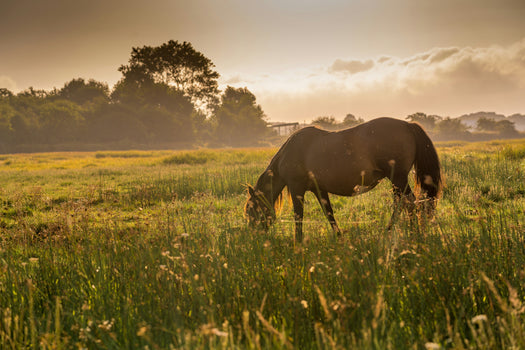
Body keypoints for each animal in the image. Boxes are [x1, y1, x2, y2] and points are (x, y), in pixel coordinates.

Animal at [244, 116, 440, 242]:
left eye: (250, 210)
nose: (253, 236)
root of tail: (407, 125)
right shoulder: (319, 189)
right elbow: (328, 213)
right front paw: (338, 235)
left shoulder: (296, 188)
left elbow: (298, 216)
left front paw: (297, 241)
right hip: (396, 180)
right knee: (401, 203)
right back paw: (392, 229)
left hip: (398, 178)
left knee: (409, 202)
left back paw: (412, 232)